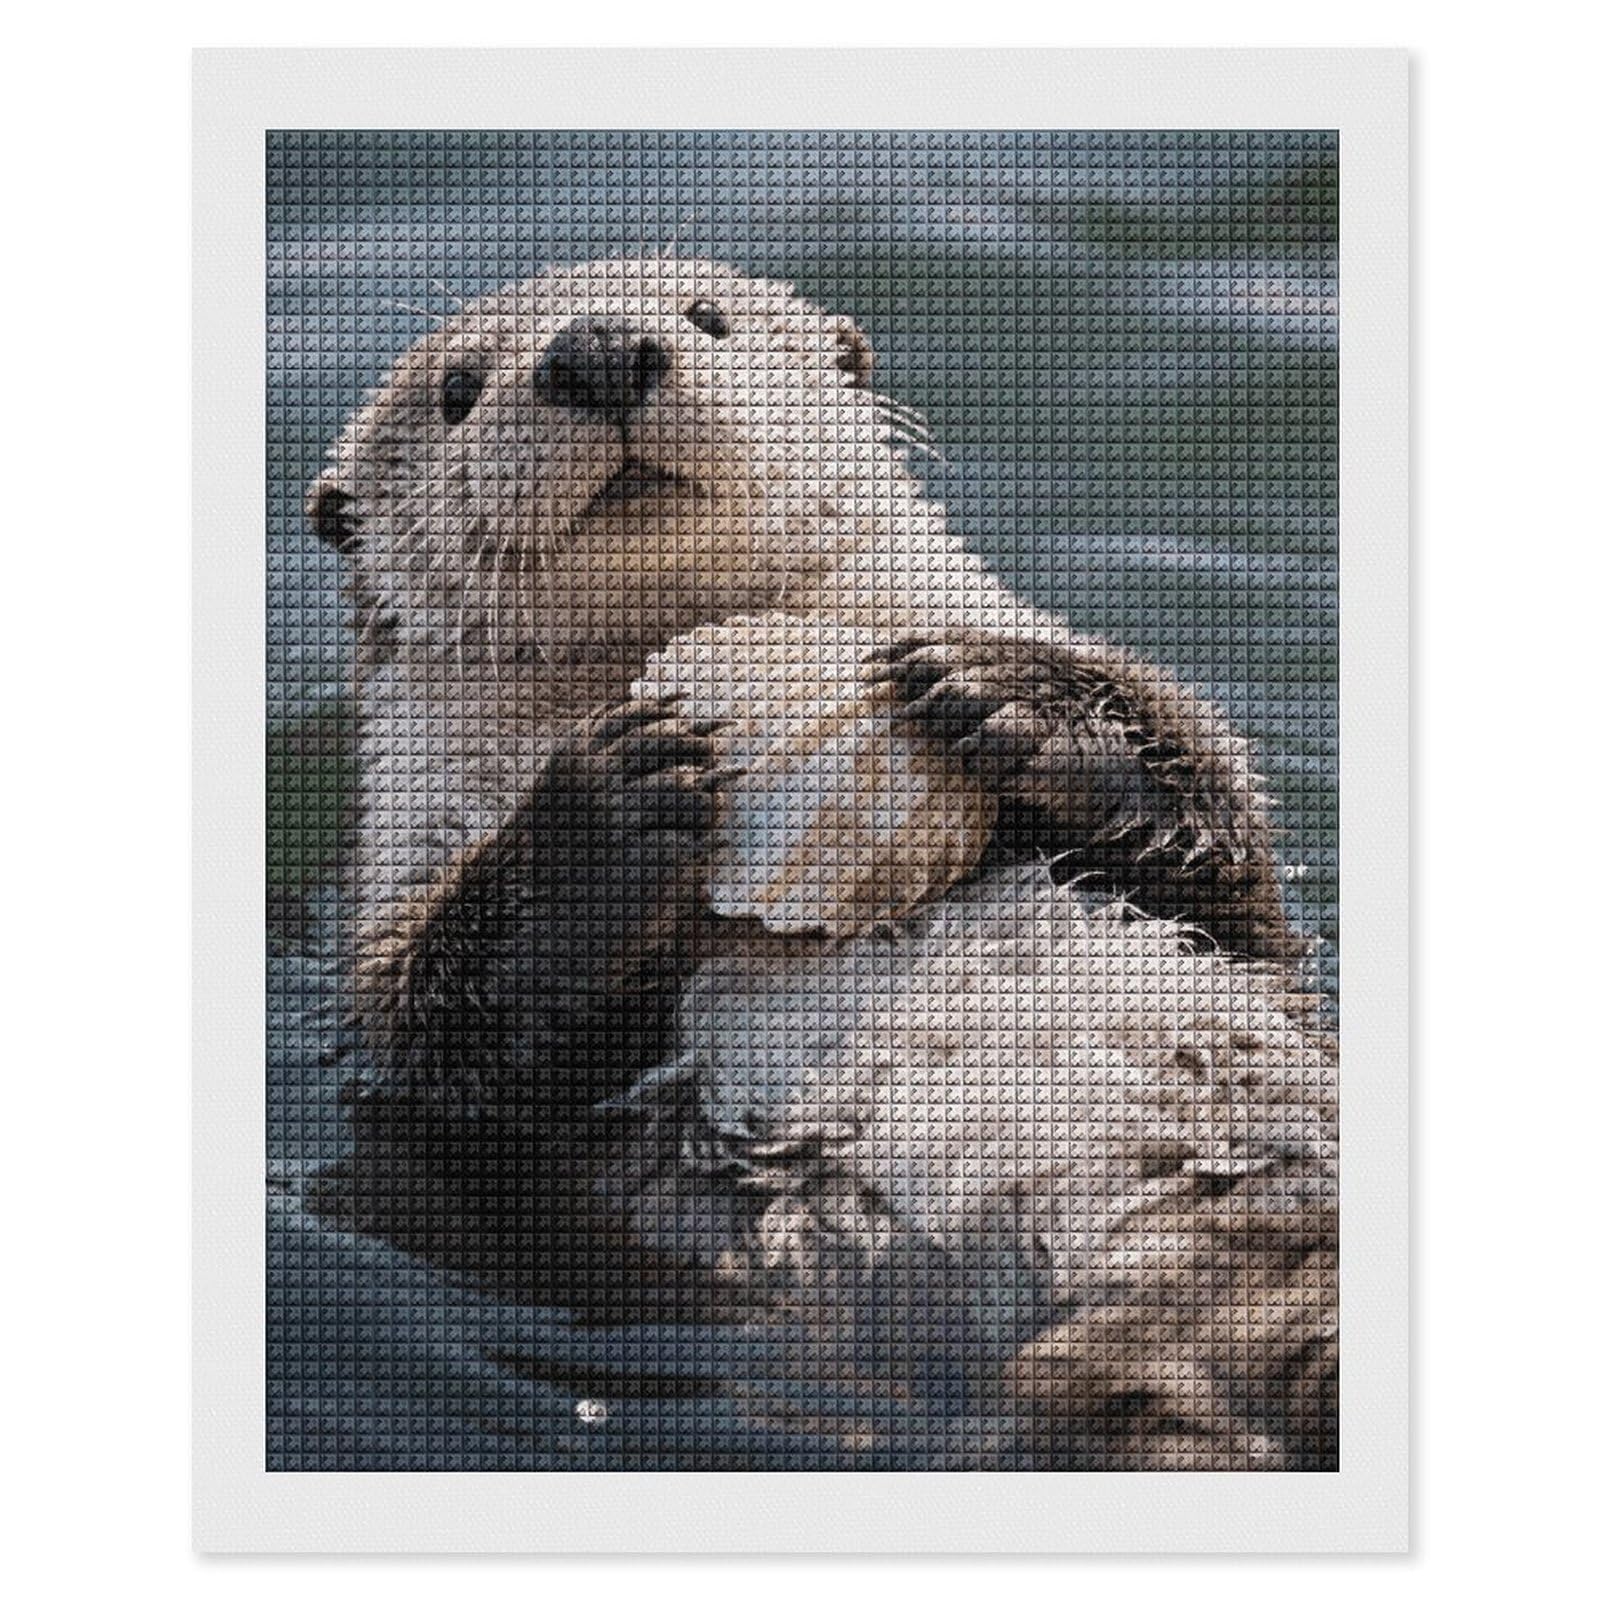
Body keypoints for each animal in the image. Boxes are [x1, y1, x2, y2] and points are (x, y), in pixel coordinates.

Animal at [303, 257, 1334, 1468]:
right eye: (457, 390)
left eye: (709, 317)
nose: (597, 349)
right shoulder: (401, 891)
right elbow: (445, 1041)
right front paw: (612, 793)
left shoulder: (1252, 942)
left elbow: (1232, 866)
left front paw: (1010, 696)